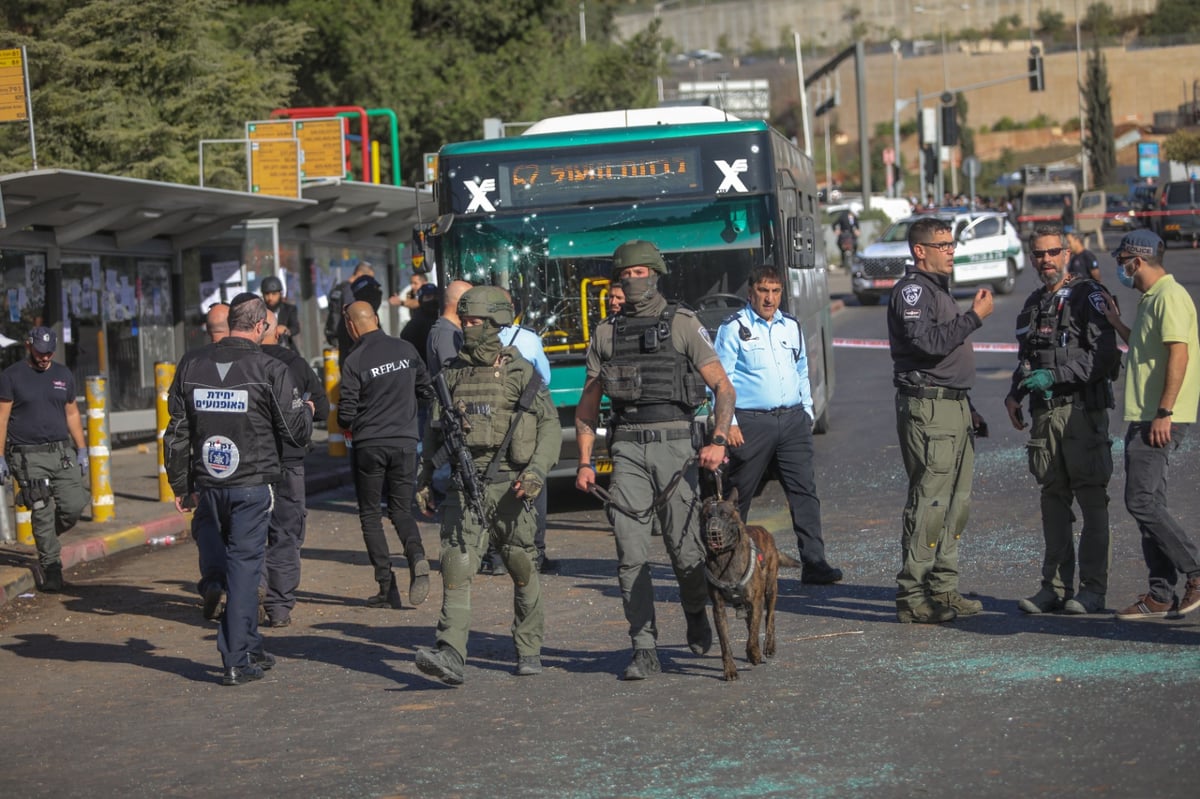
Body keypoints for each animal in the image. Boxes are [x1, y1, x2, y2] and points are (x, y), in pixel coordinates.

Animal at [700, 484, 801, 676]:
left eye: (725, 514)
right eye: (707, 516)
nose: (713, 531)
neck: (725, 558)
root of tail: (765, 531)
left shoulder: (756, 600)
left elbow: (753, 634)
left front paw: (754, 653)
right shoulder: (719, 608)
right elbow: (725, 642)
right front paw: (730, 669)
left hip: (770, 589)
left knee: (769, 617)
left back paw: (768, 646)